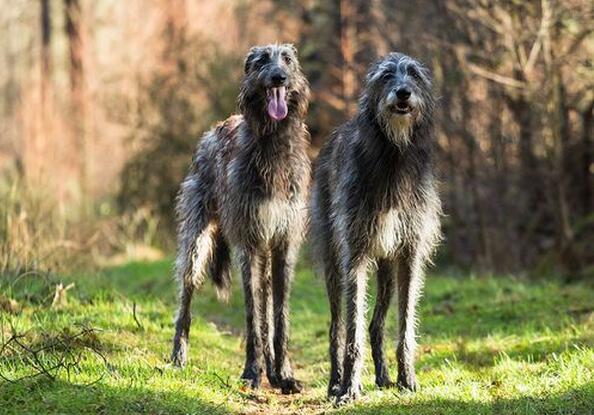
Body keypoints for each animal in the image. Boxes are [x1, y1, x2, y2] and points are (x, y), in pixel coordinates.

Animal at [170, 44, 310, 394]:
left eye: (287, 59)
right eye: (261, 61)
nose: (279, 77)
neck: (273, 143)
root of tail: (211, 131)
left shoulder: (284, 243)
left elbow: (279, 316)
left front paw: (283, 374)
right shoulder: (249, 242)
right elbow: (252, 315)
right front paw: (251, 372)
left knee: (268, 307)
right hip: (196, 239)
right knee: (186, 297)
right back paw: (178, 355)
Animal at [310, 52, 440, 406]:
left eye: (414, 74)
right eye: (385, 76)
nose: (403, 93)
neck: (393, 153)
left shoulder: (409, 255)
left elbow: (405, 323)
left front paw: (407, 379)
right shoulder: (354, 255)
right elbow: (351, 330)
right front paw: (349, 388)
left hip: (386, 269)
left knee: (376, 324)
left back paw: (383, 377)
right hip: (333, 260)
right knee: (337, 326)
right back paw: (335, 382)